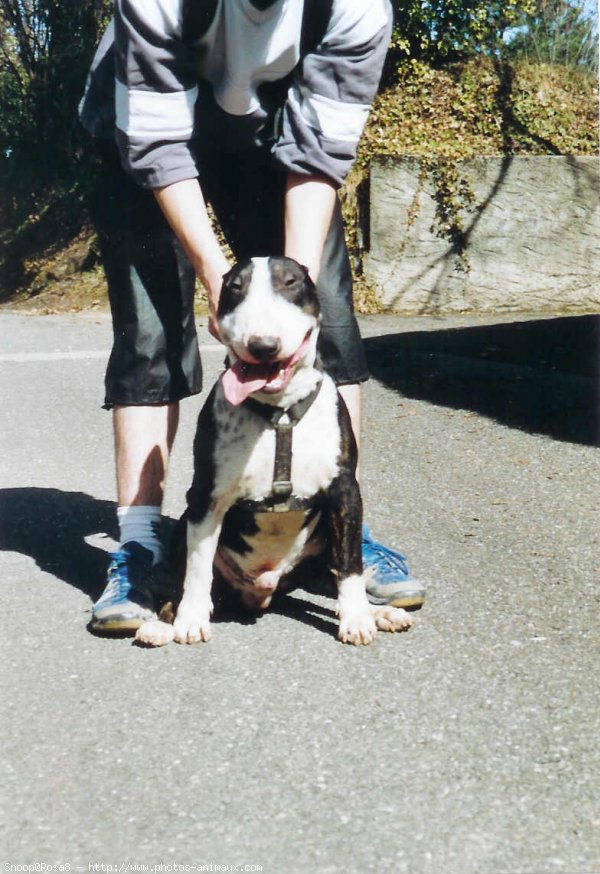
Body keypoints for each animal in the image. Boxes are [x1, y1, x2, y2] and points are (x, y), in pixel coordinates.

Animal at [137, 255, 412, 644]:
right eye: (235, 288)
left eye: (291, 283)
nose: (263, 345)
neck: (280, 410)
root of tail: (262, 589)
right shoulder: (207, 496)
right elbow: (197, 565)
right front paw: (189, 618)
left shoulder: (345, 491)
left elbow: (349, 564)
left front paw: (358, 618)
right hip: (184, 525)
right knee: (181, 577)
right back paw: (162, 624)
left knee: (334, 571)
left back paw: (382, 613)